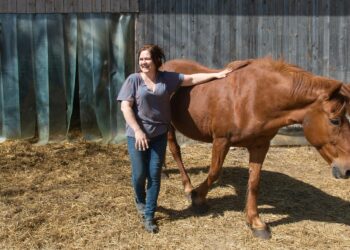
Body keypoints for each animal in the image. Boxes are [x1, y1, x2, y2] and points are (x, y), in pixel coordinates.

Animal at [161, 57, 350, 239]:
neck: (254, 99)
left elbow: (254, 182)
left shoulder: (260, 146)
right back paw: (187, 187)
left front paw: (255, 222)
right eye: (335, 120)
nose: (347, 169)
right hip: (169, 126)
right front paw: (197, 198)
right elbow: (214, 172)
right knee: (175, 150)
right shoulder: (221, 140)